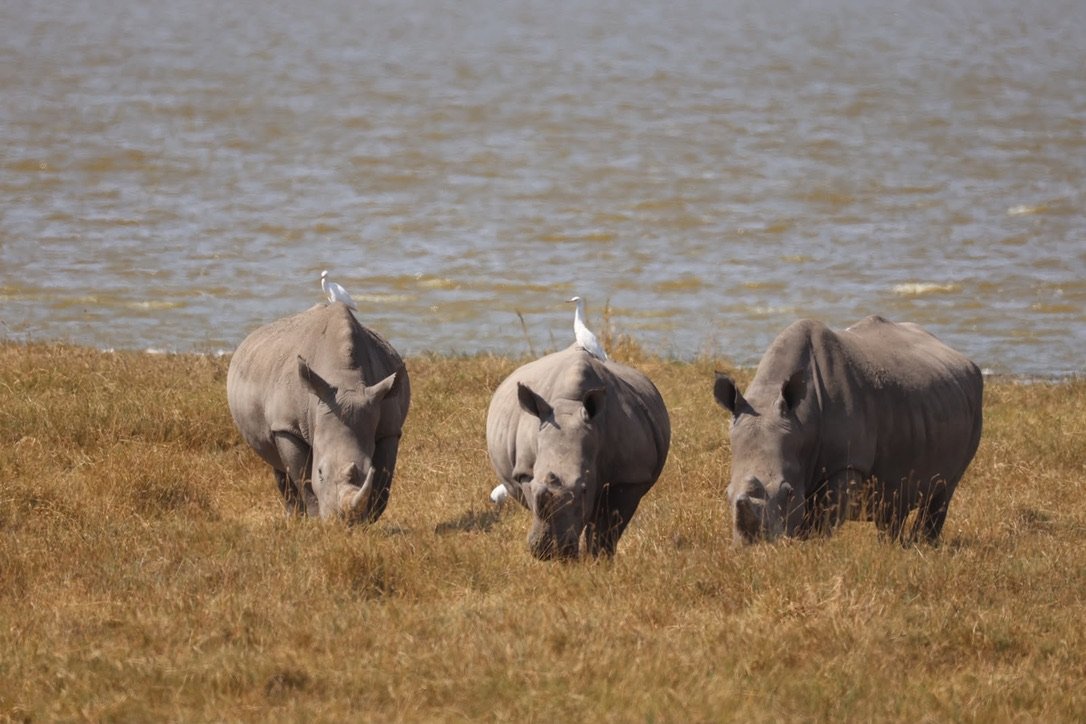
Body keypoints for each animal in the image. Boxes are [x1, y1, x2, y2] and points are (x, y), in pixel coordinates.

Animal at [227, 303, 410, 524]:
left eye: (368, 469)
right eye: (320, 472)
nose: (343, 522)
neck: (345, 380)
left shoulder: (388, 427)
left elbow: (384, 475)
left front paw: (370, 518)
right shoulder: (288, 426)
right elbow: (303, 476)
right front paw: (315, 520)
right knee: (276, 461)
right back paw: (294, 518)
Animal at [486, 344, 671, 560]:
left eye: (584, 488)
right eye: (533, 485)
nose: (549, 551)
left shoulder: (629, 477)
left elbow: (607, 529)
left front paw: (599, 560)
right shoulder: (525, 472)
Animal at [713, 315, 982, 545]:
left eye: (788, 493)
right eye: (726, 494)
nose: (753, 546)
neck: (801, 421)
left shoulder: (847, 463)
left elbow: (822, 517)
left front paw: (807, 545)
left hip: (972, 400)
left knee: (944, 491)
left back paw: (923, 545)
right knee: (894, 498)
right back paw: (892, 546)